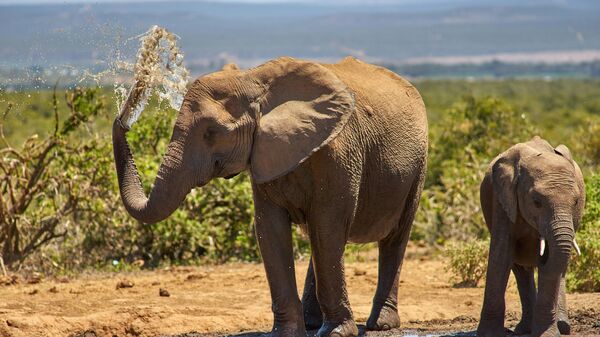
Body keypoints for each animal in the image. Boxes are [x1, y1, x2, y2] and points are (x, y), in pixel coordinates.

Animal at [112, 55, 428, 336]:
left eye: (212, 132)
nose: (124, 116)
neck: (253, 80)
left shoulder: (338, 153)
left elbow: (328, 226)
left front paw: (338, 333)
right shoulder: (262, 153)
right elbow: (270, 229)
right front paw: (284, 333)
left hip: (417, 166)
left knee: (393, 237)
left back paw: (381, 325)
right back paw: (312, 323)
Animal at [476, 135, 584, 336]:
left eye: (576, 202)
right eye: (536, 202)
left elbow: (551, 261)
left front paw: (547, 334)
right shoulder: (502, 199)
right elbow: (501, 255)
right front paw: (489, 334)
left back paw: (562, 326)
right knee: (520, 268)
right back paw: (525, 329)